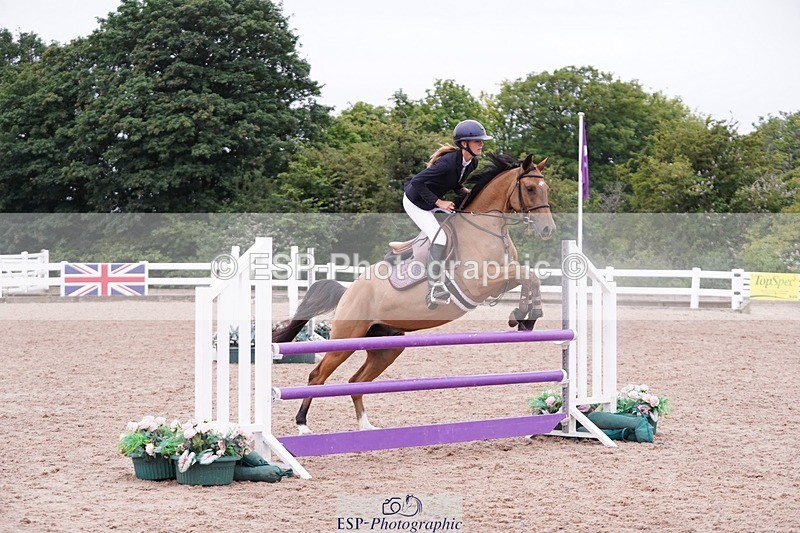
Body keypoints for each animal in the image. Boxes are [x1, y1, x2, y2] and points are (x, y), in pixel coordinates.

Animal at [272, 153, 556, 435]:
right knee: (318, 375)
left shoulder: (500, 280)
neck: (485, 228)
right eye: (530, 188)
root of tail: (348, 291)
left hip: (387, 347)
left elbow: (530, 276)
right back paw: (302, 425)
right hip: (346, 338)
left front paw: (523, 317)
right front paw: (527, 314)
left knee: (356, 381)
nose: (547, 230)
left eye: (546, 189)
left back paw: (366, 425)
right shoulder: (479, 284)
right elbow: (528, 275)